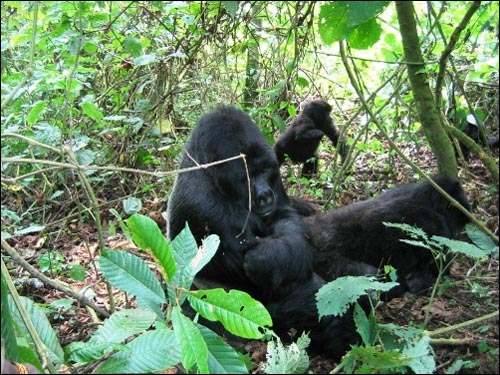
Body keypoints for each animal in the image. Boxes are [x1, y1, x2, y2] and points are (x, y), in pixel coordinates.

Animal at [167, 105, 360, 358]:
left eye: (265, 172)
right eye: (248, 178)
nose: (266, 196)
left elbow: (287, 221)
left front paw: (272, 254)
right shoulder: (204, 206)